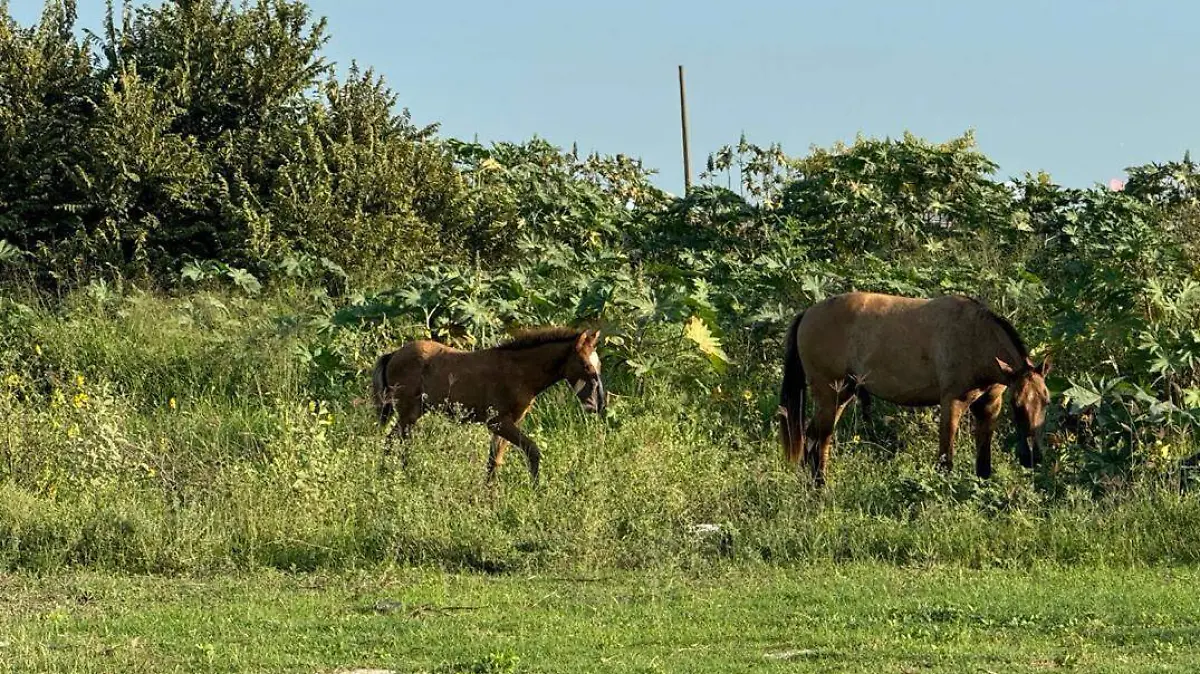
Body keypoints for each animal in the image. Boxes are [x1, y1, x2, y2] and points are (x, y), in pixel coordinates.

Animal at [369, 326, 604, 479]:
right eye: (585, 365)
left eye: (598, 364)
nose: (598, 404)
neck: (519, 372)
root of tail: (393, 354)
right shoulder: (498, 423)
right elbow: (532, 451)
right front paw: (536, 491)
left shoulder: (509, 423)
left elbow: (494, 462)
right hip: (408, 412)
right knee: (397, 442)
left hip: (413, 413)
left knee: (392, 440)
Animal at [777, 289, 1051, 482]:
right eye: (1017, 405)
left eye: (1046, 402)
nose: (1033, 457)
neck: (974, 338)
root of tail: (807, 314)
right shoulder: (953, 402)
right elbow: (946, 459)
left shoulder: (988, 407)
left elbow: (983, 465)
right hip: (829, 395)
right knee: (818, 439)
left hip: (842, 395)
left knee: (814, 438)